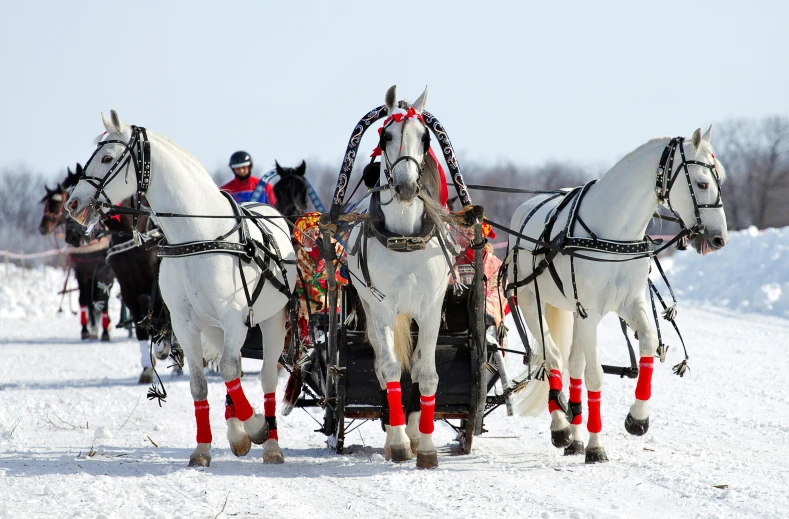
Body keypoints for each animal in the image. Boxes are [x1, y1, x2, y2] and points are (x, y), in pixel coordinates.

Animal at [67, 110, 296, 468]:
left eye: (106, 157)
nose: (73, 204)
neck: (199, 237)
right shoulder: (186, 324)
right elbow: (201, 384)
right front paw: (204, 448)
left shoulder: (234, 319)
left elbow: (229, 370)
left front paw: (257, 427)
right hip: (215, 329)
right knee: (235, 370)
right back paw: (236, 433)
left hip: (272, 321)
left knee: (266, 377)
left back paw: (271, 443)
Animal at [348, 84, 452, 468]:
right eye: (387, 136)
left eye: (425, 137)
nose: (406, 187)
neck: (405, 236)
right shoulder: (381, 309)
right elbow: (391, 369)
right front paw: (398, 444)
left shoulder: (431, 309)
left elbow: (427, 374)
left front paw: (425, 445)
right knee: (382, 363)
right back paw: (396, 430)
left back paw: (412, 428)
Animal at [510, 127, 728, 464]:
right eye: (703, 183)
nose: (720, 238)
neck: (614, 235)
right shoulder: (588, 312)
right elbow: (595, 375)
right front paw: (596, 446)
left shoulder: (629, 304)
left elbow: (648, 343)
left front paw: (637, 418)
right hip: (532, 303)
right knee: (552, 359)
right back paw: (561, 427)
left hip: (571, 312)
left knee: (572, 365)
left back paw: (574, 437)